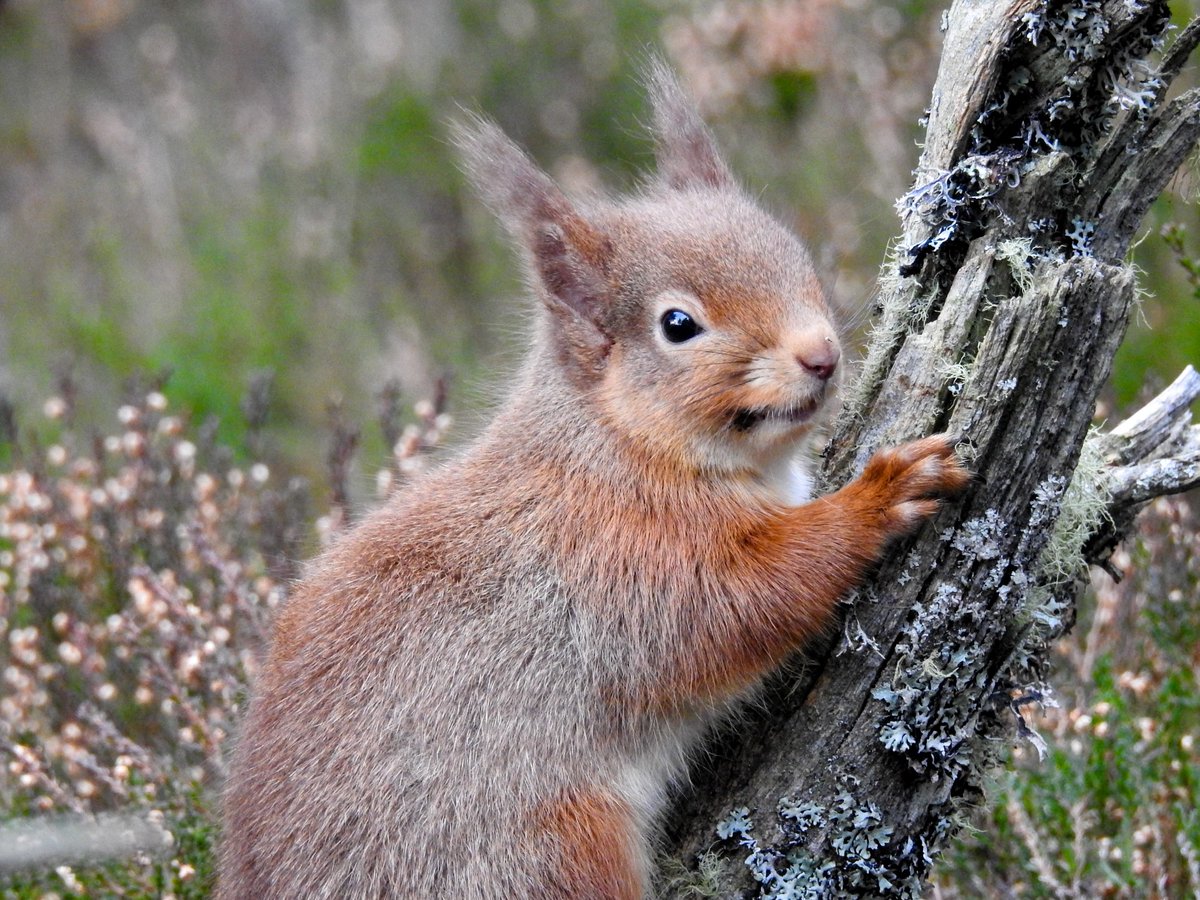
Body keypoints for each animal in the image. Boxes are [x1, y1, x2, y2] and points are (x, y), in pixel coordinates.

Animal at [216, 61, 970, 899]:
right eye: (678, 325)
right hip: (554, 852)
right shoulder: (619, 563)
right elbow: (747, 599)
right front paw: (880, 495)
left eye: (790, 251)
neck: (618, 445)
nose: (821, 355)